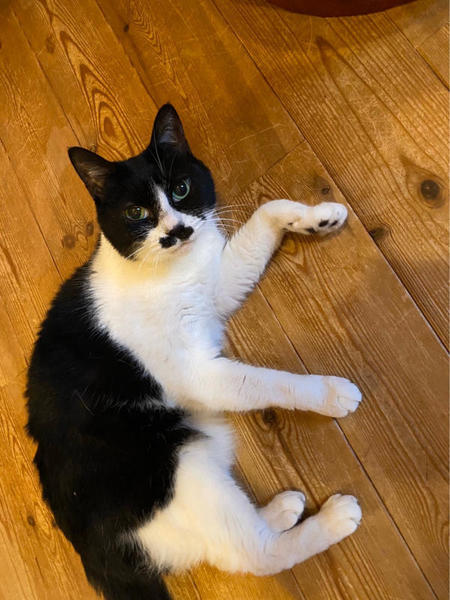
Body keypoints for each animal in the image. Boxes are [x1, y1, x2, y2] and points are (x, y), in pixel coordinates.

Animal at [26, 104, 362, 600]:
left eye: (181, 189)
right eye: (137, 212)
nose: (178, 230)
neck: (170, 271)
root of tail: (96, 555)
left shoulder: (218, 288)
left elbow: (267, 209)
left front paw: (320, 216)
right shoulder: (199, 374)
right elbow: (270, 382)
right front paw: (331, 394)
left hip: (201, 449)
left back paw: (281, 508)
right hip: (179, 468)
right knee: (254, 554)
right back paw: (335, 518)